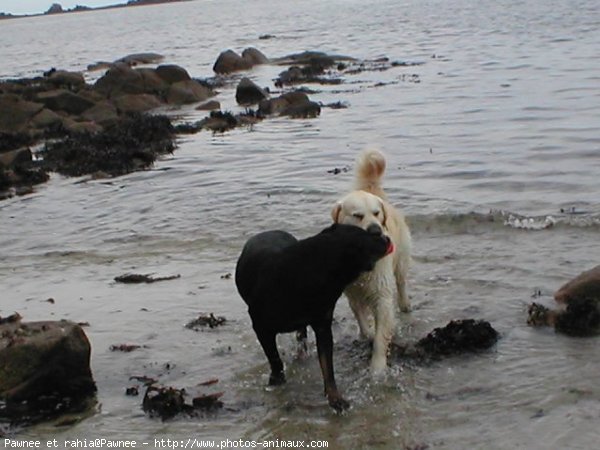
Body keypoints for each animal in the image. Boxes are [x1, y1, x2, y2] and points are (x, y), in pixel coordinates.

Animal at [234, 223, 394, 410]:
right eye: (366, 238)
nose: (386, 238)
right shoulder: (260, 326)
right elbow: (274, 357)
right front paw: (277, 379)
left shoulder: (323, 324)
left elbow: (327, 365)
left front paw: (335, 398)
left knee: (301, 332)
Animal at [330, 149, 410, 374]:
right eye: (357, 215)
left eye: (376, 213)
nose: (375, 230)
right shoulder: (352, 292)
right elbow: (362, 319)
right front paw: (367, 334)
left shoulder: (381, 294)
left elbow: (381, 336)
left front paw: (377, 369)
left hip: (402, 259)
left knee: (401, 281)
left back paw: (405, 305)